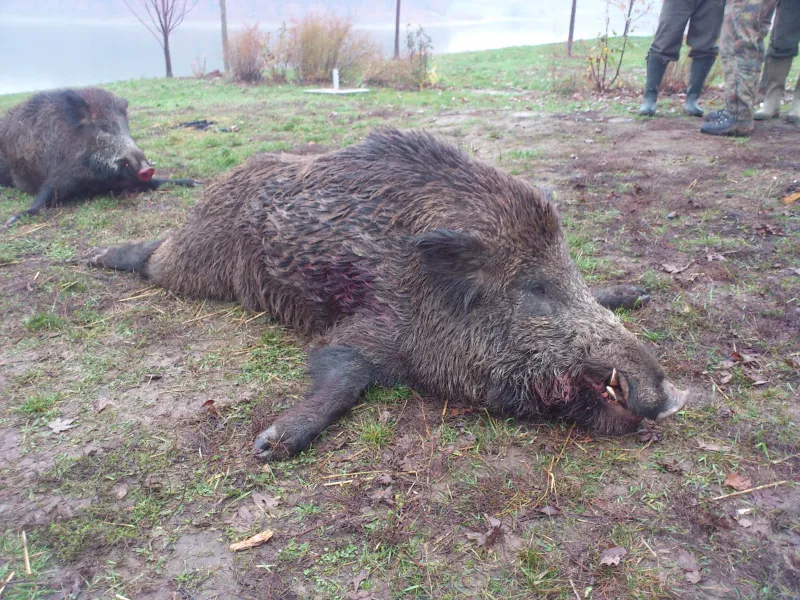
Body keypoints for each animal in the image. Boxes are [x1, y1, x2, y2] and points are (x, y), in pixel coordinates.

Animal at [0, 87, 198, 227]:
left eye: (126, 128)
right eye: (104, 128)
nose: (147, 168)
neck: (93, 181)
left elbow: (156, 182)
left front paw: (195, 182)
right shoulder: (58, 177)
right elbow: (40, 200)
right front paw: (11, 221)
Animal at [87, 128, 689, 460]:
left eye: (571, 277)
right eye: (535, 290)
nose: (669, 396)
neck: (423, 290)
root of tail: (228, 176)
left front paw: (636, 292)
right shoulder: (367, 327)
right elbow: (346, 372)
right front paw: (269, 448)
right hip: (197, 263)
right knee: (154, 258)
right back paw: (95, 257)